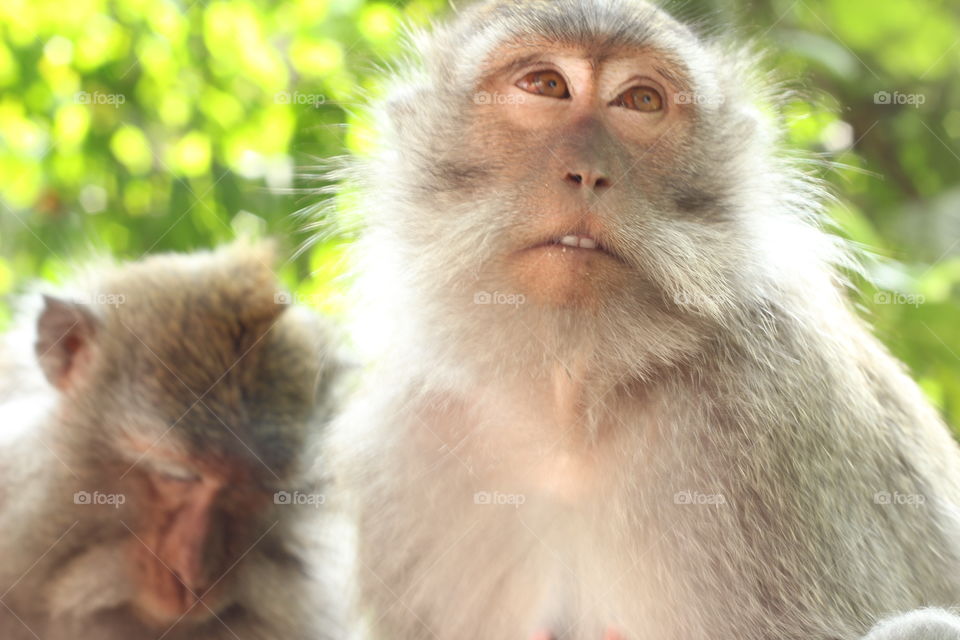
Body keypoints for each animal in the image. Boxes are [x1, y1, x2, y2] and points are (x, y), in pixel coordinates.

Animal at [327, 1, 960, 639]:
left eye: (641, 100)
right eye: (546, 85)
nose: (589, 172)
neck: (572, 408)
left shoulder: (781, 404)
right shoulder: (402, 442)